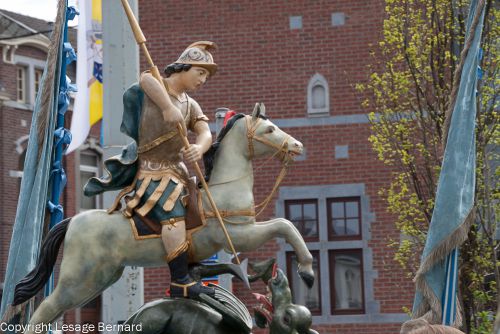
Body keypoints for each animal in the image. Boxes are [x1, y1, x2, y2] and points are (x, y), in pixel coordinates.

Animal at [10, 103, 312, 332]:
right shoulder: (239, 235)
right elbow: (284, 226)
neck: (222, 191)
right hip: (80, 278)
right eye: (270, 129)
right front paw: (306, 272)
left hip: (100, 278)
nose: (297, 145)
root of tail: (73, 221)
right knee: (46, 308)